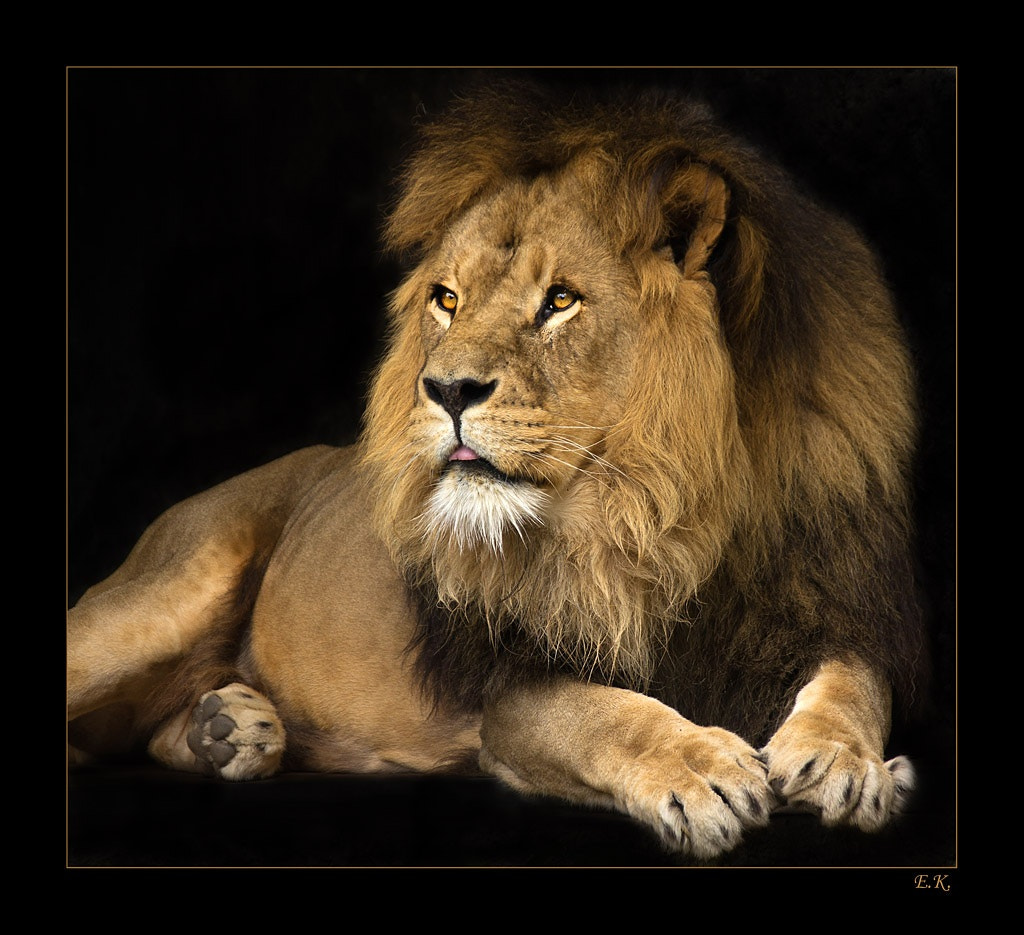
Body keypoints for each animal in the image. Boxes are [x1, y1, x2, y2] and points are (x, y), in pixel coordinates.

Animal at [67, 84, 927, 861]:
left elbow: (858, 678)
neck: (669, 507)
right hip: (166, 591)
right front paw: (702, 767)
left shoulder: (818, 599)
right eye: (447, 299)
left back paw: (226, 728)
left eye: (561, 300)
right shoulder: (511, 686)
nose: (446, 388)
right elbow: (612, 713)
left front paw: (844, 760)